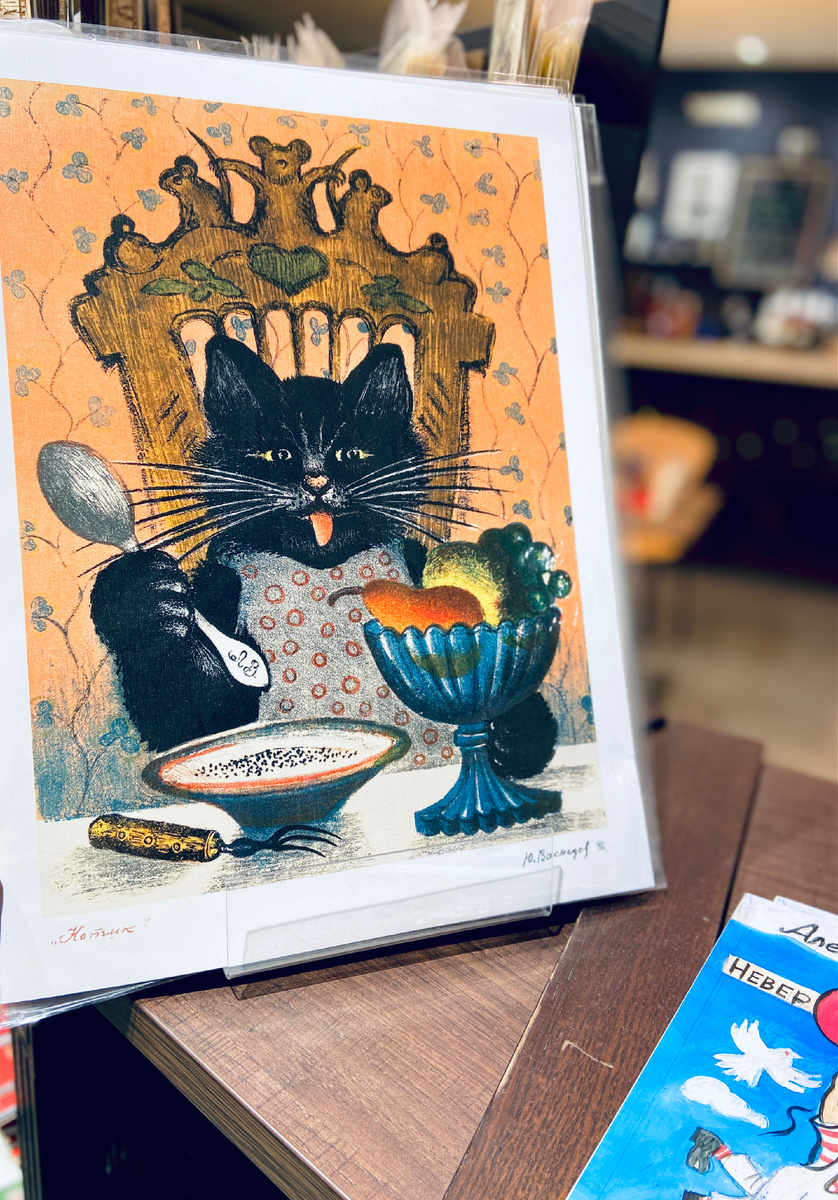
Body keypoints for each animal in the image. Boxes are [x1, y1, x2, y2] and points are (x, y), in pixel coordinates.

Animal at [90, 336, 556, 773]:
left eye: (351, 452)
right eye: (278, 454)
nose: (317, 481)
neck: (321, 573)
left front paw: (508, 731)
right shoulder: (217, 595)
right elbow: (187, 710)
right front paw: (143, 594)